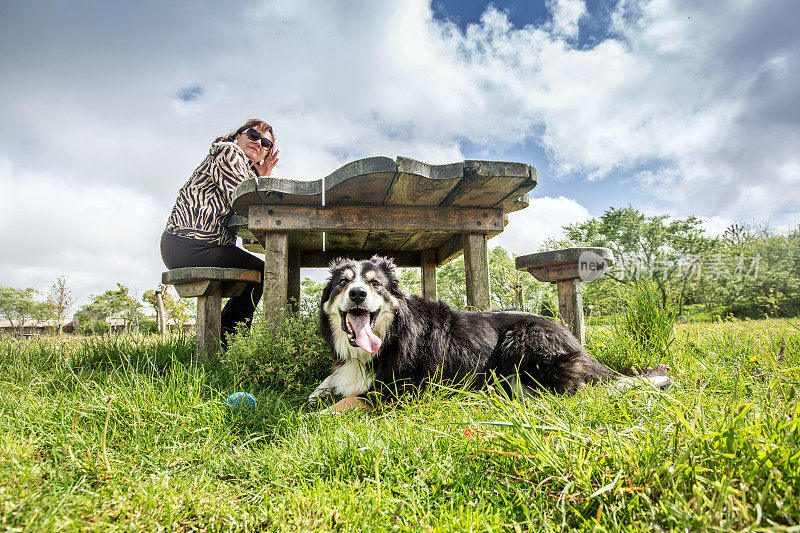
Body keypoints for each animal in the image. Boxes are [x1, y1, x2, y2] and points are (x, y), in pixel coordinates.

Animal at [310, 256, 672, 410]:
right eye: (343, 283)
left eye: (375, 284)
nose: (357, 294)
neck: (391, 334)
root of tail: (574, 343)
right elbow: (326, 385)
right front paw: (318, 395)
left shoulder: (404, 389)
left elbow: (352, 399)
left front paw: (321, 417)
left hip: (522, 342)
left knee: (567, 390)